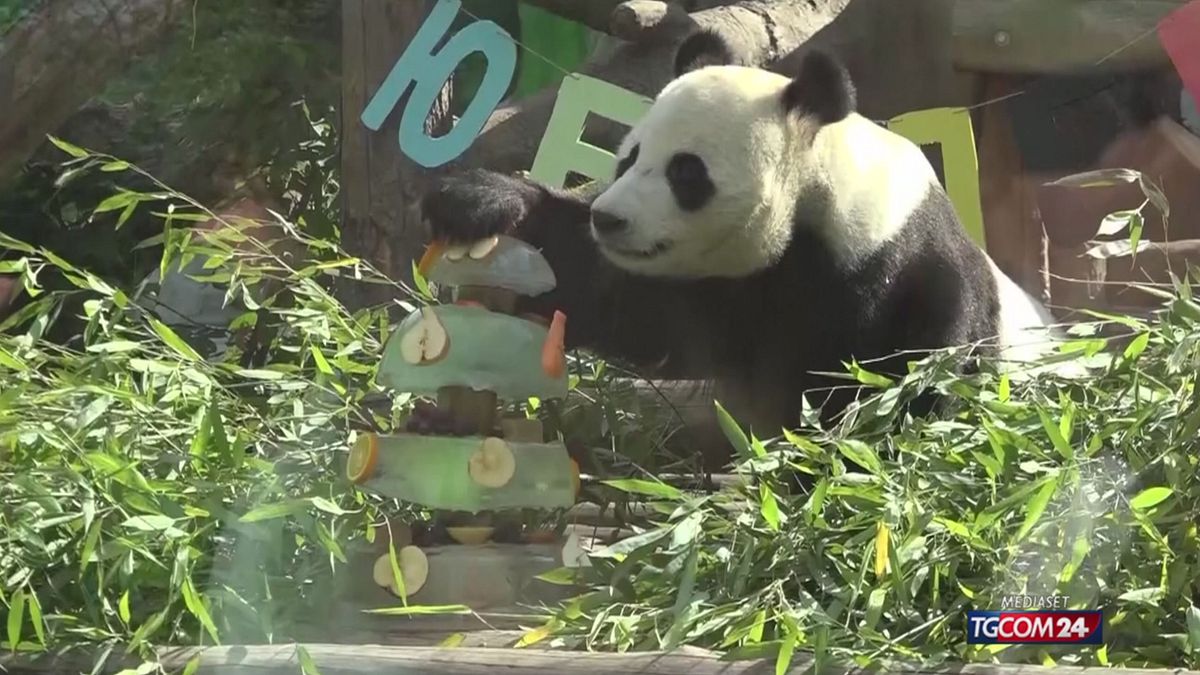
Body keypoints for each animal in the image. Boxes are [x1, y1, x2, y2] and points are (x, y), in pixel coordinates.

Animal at [421, 31, 1062, 459]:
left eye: (686, 172)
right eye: (629, 158)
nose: (608, 220)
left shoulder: (902, 266)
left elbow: (920, 381)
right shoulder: (713, 288)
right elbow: (608, 296)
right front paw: (477, 200)